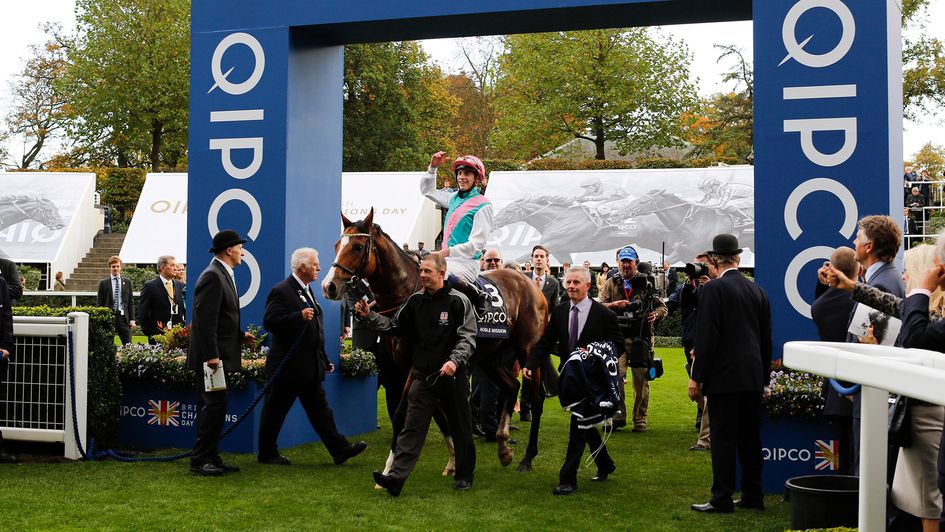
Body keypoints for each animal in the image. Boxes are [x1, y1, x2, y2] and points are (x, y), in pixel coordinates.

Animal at [322, 208, 548, 470]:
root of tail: (532, 285)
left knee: (538, 397)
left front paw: (390, 466)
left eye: (358, 247)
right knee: (512, 386)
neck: (408, 295)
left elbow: (402, 413)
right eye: (337, 245)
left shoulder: (415, 365)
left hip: (527, 350)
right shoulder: (412, 366)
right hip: (489, 356)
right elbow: (438, 412)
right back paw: (503, 447)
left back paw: (528, 456)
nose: (329, 286)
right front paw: (453, 460)